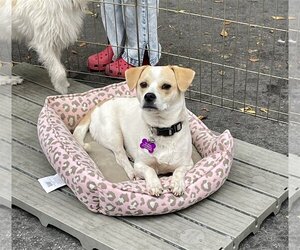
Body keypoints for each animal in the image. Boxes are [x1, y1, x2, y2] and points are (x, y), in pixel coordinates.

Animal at [74, 65, 196, 196]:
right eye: (143, 84)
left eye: (166, 86)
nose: (149, 96)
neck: (161, 129)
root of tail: (98, 105)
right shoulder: (140, 165)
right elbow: (150, 170)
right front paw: (154, 184)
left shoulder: (188, 164)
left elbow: (178, 171)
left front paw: (177, 184)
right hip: (114, 134)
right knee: (120, 156)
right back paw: (131, 171)